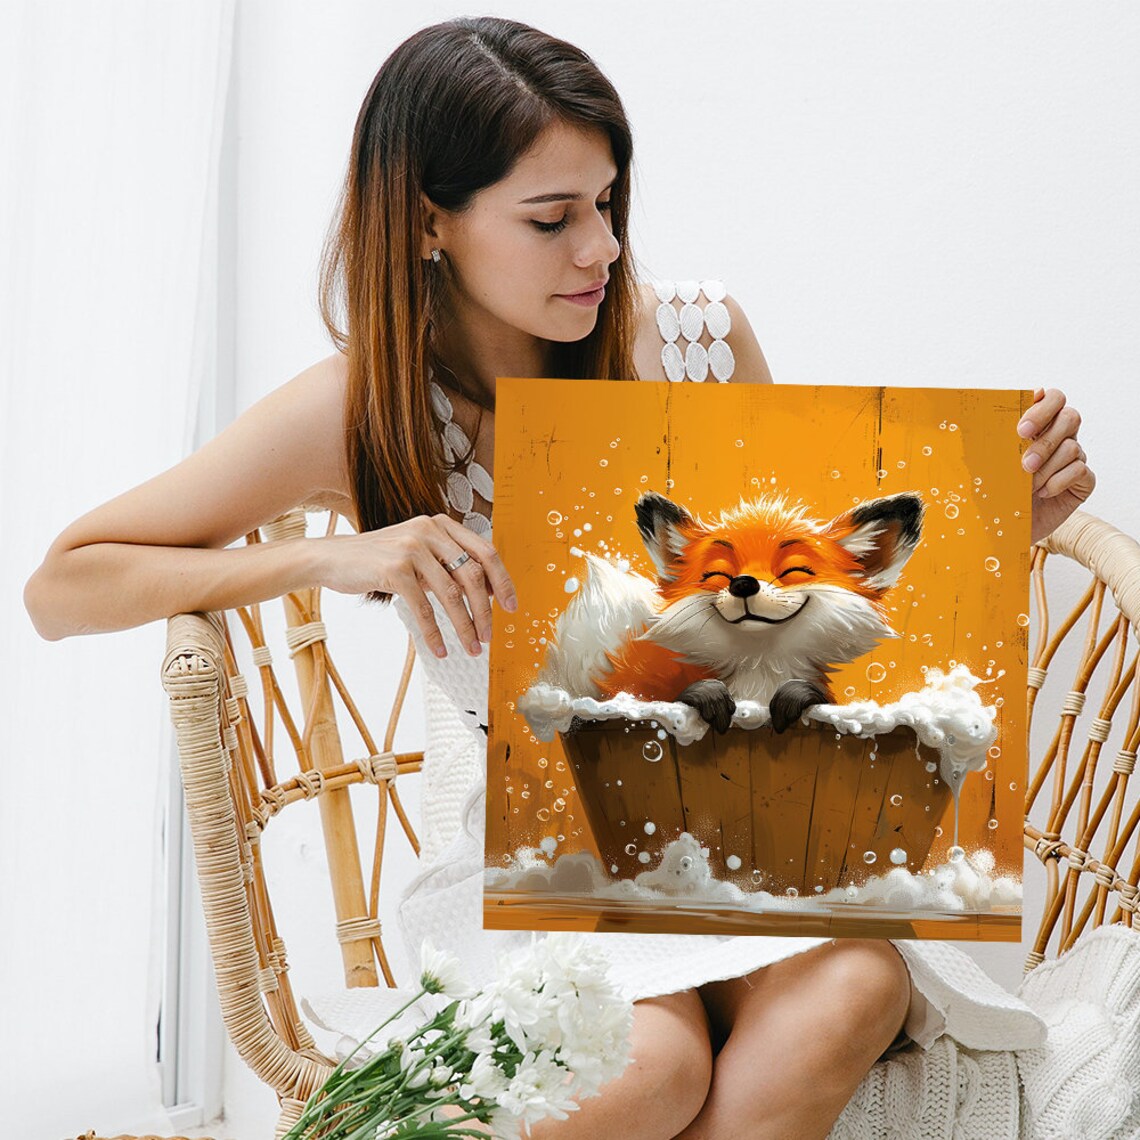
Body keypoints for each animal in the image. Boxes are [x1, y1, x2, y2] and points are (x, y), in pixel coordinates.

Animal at [535, 489, 924, 735]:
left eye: (794, 571)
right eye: (717, 575)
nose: (743, 584)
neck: (758, 674)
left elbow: (812, 696)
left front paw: (797, 695)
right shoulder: (639, 691)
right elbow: (673, 697)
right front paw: (706, 696)